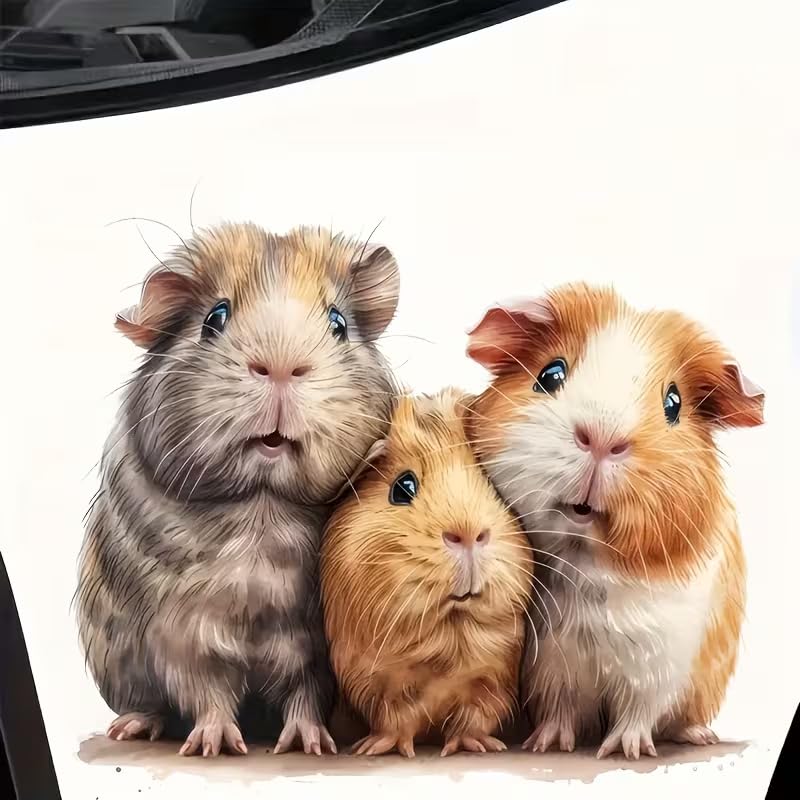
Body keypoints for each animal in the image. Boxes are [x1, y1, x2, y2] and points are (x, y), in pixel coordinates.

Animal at [76, 223, 400, 757]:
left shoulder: (313, 647)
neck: (262, 510)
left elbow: (305, 696)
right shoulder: (183, 638)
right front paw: (215, 745)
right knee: (151, 703)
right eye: (215, 317)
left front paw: (310, 744)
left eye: (338, 323)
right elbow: (207, 693)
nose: (282, 366)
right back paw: (130, 728)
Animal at [320, 388, 533, 757]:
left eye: (492, 484)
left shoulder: (493, 682)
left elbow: (474, 717)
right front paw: (377, 748)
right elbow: (395, 720)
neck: (447, 643)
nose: (468, 533)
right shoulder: (376, 686)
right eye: (402, 487)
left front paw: (478, 746)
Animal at [465, 283, 765, 760]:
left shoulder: (658, 664)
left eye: (673, 403)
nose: (603, 439)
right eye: (550, 374)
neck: (585, 559)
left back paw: (699, 736)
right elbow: (561, 709)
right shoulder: (552, 666)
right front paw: (548, 745)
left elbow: (638, 712)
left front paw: (626, 751)